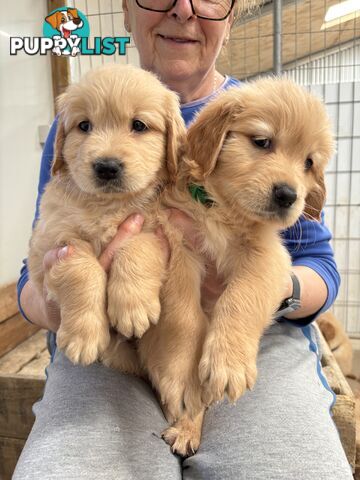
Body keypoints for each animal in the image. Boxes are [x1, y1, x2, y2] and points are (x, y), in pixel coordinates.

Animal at [160, 78, 334, 454]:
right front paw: (182, 369)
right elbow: (183, 314)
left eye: (308, 162)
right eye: (262, 141)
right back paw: (185, 426)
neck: (224, 211)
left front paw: (228, 362)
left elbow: (240, 297)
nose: (288, 195)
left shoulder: (268, 258)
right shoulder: (179, 244)